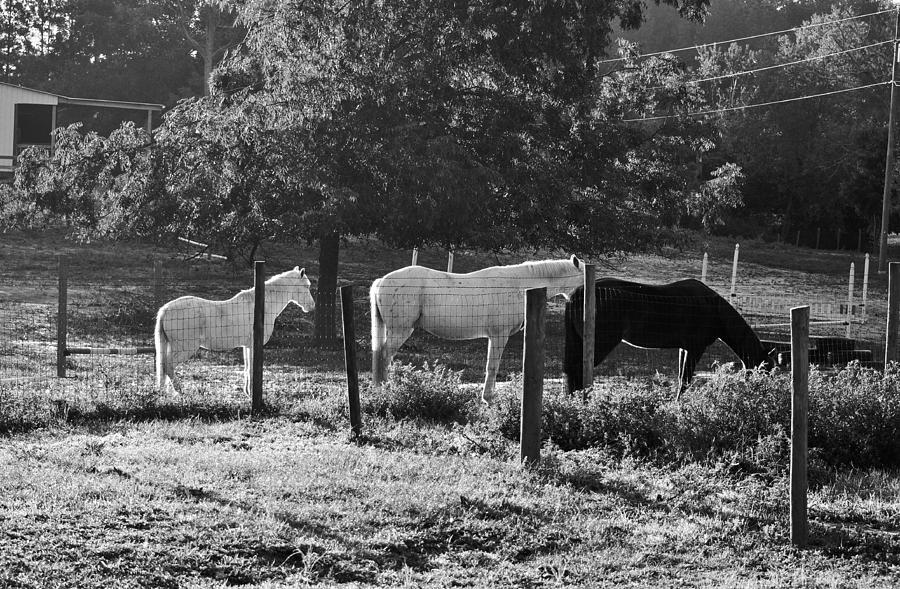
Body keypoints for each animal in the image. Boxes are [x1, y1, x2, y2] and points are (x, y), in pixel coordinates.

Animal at [152, 266, 312, 396]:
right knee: (168, 366)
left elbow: (247, 368)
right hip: (185, 348)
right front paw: (252, 393)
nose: (312, 306)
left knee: (164, 366)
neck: (260, 307)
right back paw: (179, 390)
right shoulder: (253, 346)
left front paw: (248, 392)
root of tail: (165, 309)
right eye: (306, 286)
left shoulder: (247, 346)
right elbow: (251, 370)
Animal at [370, 255, 584, 402]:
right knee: (384, 356)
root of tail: (381, 281)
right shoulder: (499, 336)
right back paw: (384, 389)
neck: (519, 285)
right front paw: (488, 398)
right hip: (400, 331)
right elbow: (492, 366)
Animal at [568, 278, 776, 398]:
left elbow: (680, 378)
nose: (762, 395)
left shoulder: (684, 349)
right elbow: (685, 381)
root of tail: (576, 293)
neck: (713, 307)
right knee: (579, 370)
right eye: (765, 370)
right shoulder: (696, 348)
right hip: (601, 344)